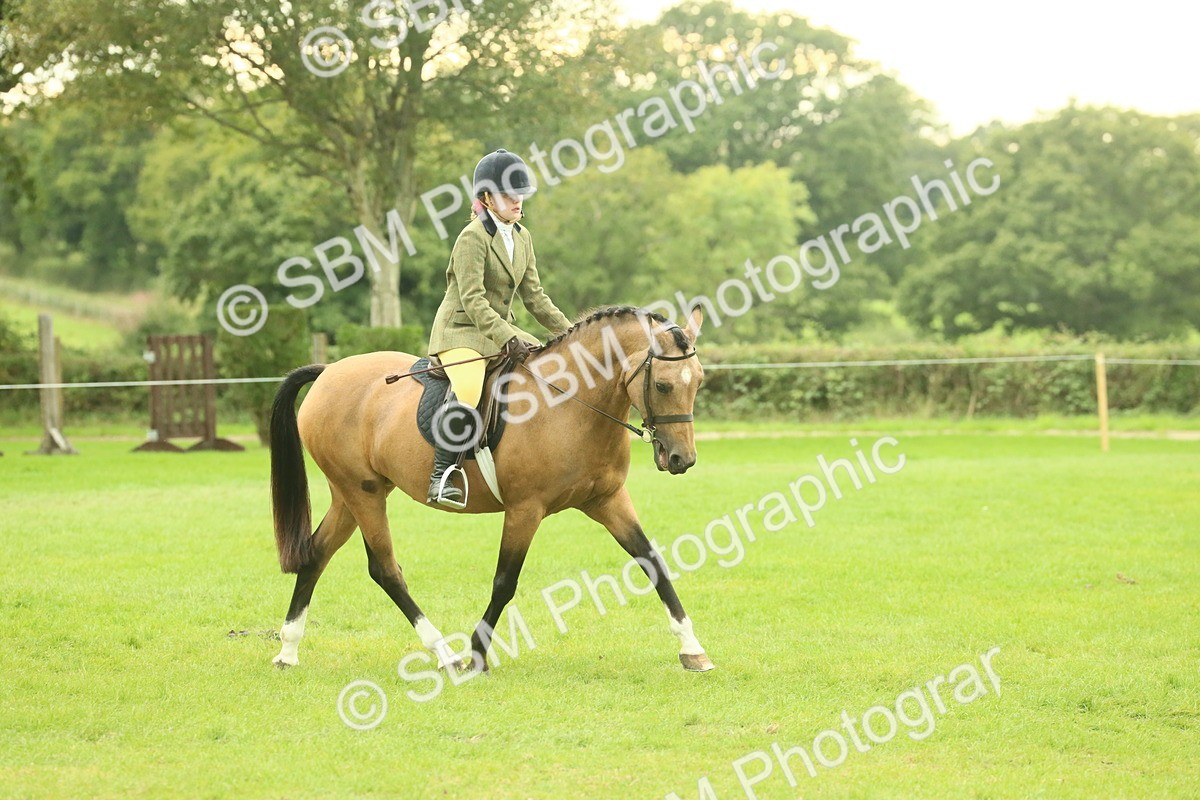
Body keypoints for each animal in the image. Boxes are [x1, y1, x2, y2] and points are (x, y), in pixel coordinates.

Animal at [268, 305, 715, 673]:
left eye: (699, 382)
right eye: (663, 386)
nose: (683, 459)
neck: (572, 404)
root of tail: (328, 371)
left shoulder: (607, 500)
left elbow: (653, 562)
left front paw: (693, 650)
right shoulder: (525, 509)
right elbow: (505, 582)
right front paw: (477, 656)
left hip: (353, 493)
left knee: (317, 555)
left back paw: (288, 650)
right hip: (363, 493)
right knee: (385, 570)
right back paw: (445, 654)